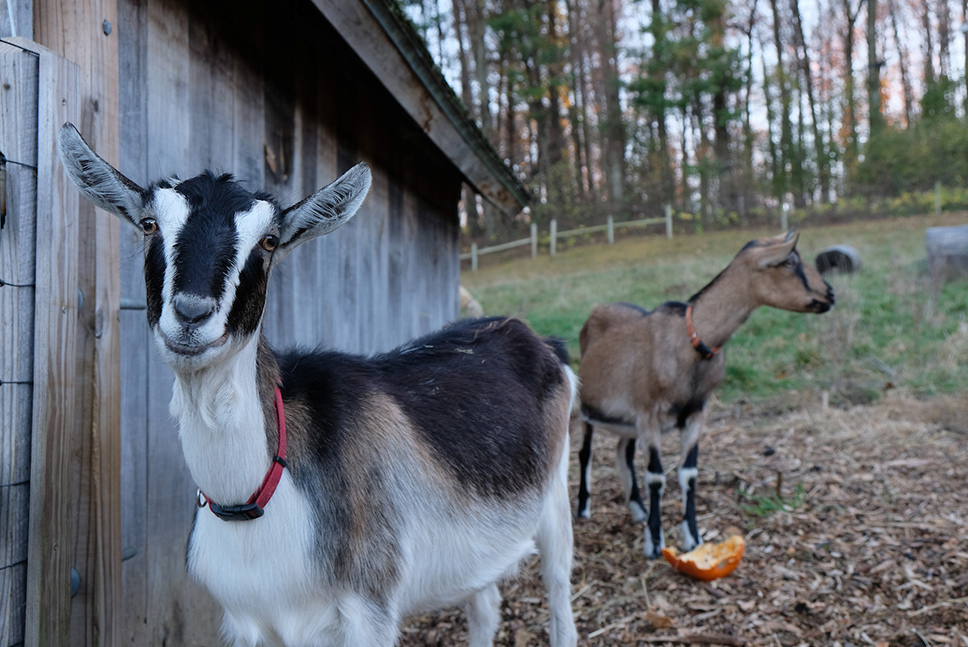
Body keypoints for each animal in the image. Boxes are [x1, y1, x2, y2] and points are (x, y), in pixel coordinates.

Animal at [60, 124, 580, 644]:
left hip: (556, 495)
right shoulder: (246, 621)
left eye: (269, 241)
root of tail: (540, 340)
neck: (252, 501)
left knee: (559, 594)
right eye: (148, 225)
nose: (191, 313)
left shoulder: (370, 606)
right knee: (485, 603)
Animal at [576, 234, 832, 560]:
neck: (690, 343)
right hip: (588, 407)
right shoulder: (649, 414)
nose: (830, 294)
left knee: (623, 451)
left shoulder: (696, 414)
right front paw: (654, 543)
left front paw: (693, 539)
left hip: (628, 421)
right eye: (789, 262)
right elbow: (656, 477)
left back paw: (638, 510)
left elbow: (688, 474)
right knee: (586, 452)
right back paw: (584, 508)